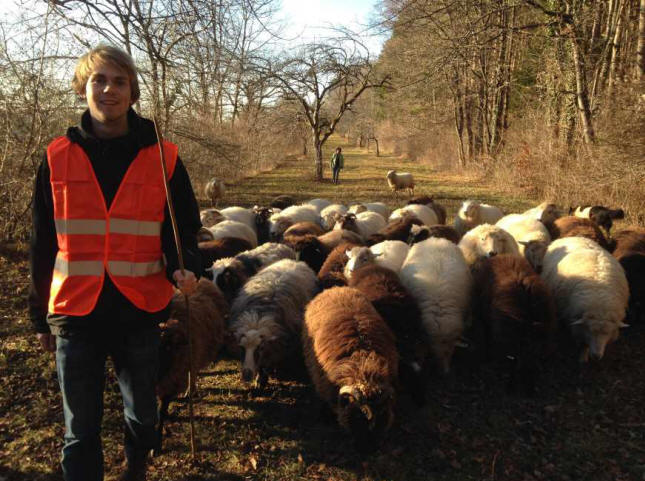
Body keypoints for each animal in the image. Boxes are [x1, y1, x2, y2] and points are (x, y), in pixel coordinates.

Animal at [156, 280, 229, 452]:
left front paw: (156, 444)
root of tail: (202, 280)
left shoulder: (172, 381)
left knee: (194, 372)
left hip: (196, 354)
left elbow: (161, 412)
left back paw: (191, 390)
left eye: (167, 347)